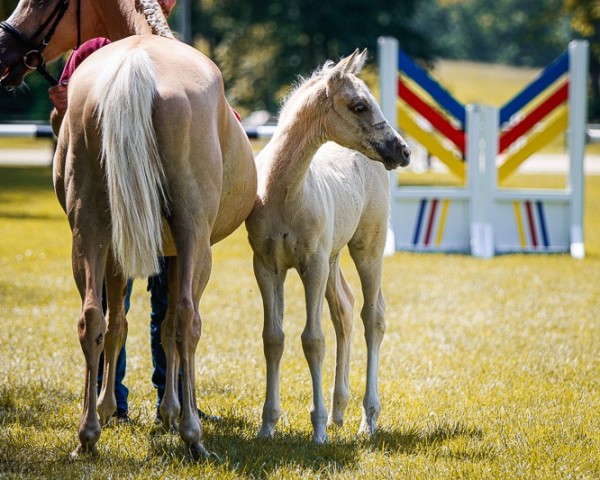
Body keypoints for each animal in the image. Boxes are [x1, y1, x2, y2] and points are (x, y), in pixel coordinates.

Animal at [0, 0, 255, 460]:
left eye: (44, 2)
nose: (2, 49)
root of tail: (136, 65)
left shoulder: (131, 250)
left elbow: (122, 323)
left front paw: (110, 408)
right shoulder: (184, 251)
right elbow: (170, 325)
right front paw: (171, 410)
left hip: (90, 232)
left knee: (92, 318)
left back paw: (87, 435)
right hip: (193, 238)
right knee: (186, 319)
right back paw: (192, 434)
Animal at [246, 50, 410, 444]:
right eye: (359, 105)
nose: (403, 150)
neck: (283, 193)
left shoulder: (313, 265)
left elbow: (313, 340)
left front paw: (317, 429)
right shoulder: (266, 266)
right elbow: (273, 339)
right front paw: (267, 426)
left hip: (368, 248)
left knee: (372, 316)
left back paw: (367, 419)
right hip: (335, 258)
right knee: (345, 310)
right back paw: (339, 410)